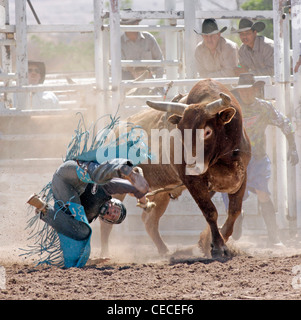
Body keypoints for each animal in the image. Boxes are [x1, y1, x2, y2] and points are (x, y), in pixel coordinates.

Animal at [96, 79, 251, 258]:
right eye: (181, 132)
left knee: (149, 221)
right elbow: (210, 211)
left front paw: (208, 241)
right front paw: (218, 247)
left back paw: (164, 251)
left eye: (207, 131)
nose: (192, 165)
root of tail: (109, 133)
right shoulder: (192, 181)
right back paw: (105, 253)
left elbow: (234, 212)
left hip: (161, 192)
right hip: (118, 186)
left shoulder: (241, 177)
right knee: (107, 220)